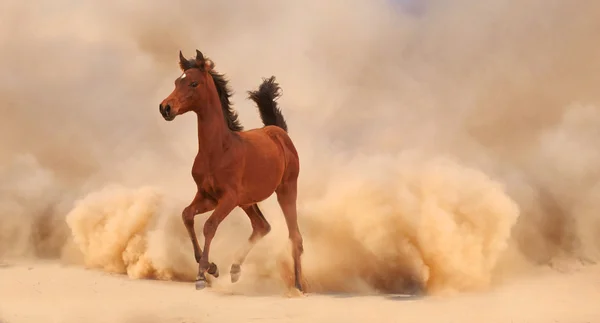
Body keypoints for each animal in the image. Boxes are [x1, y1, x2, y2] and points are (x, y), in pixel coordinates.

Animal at [158, 50, 304, 294]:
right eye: (177, 81)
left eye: (194, 83)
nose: (165, 108)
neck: (218, 149)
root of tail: (279, 132)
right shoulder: (208, 196)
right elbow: (187, 215)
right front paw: (212, 267)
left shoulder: (229, 198)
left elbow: (209, 226)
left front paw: (202, 275)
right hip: (247, 201)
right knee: (262, 226)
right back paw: (235, 270)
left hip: (286, 190)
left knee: (295, 236)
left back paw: (300, 286)